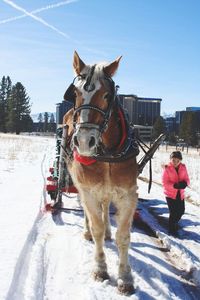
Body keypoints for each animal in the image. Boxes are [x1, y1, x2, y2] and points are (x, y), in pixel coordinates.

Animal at [62, 51, 139, 296]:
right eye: (75, 93)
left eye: (106, 95)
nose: (85, 141)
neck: (107, 155)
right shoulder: (88, 191)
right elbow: (95, 226)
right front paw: (100, 268)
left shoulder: (128, 195)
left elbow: (123, 236)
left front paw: (125, 277)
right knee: (89, 212)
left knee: (105, 207)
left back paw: (107, 231)